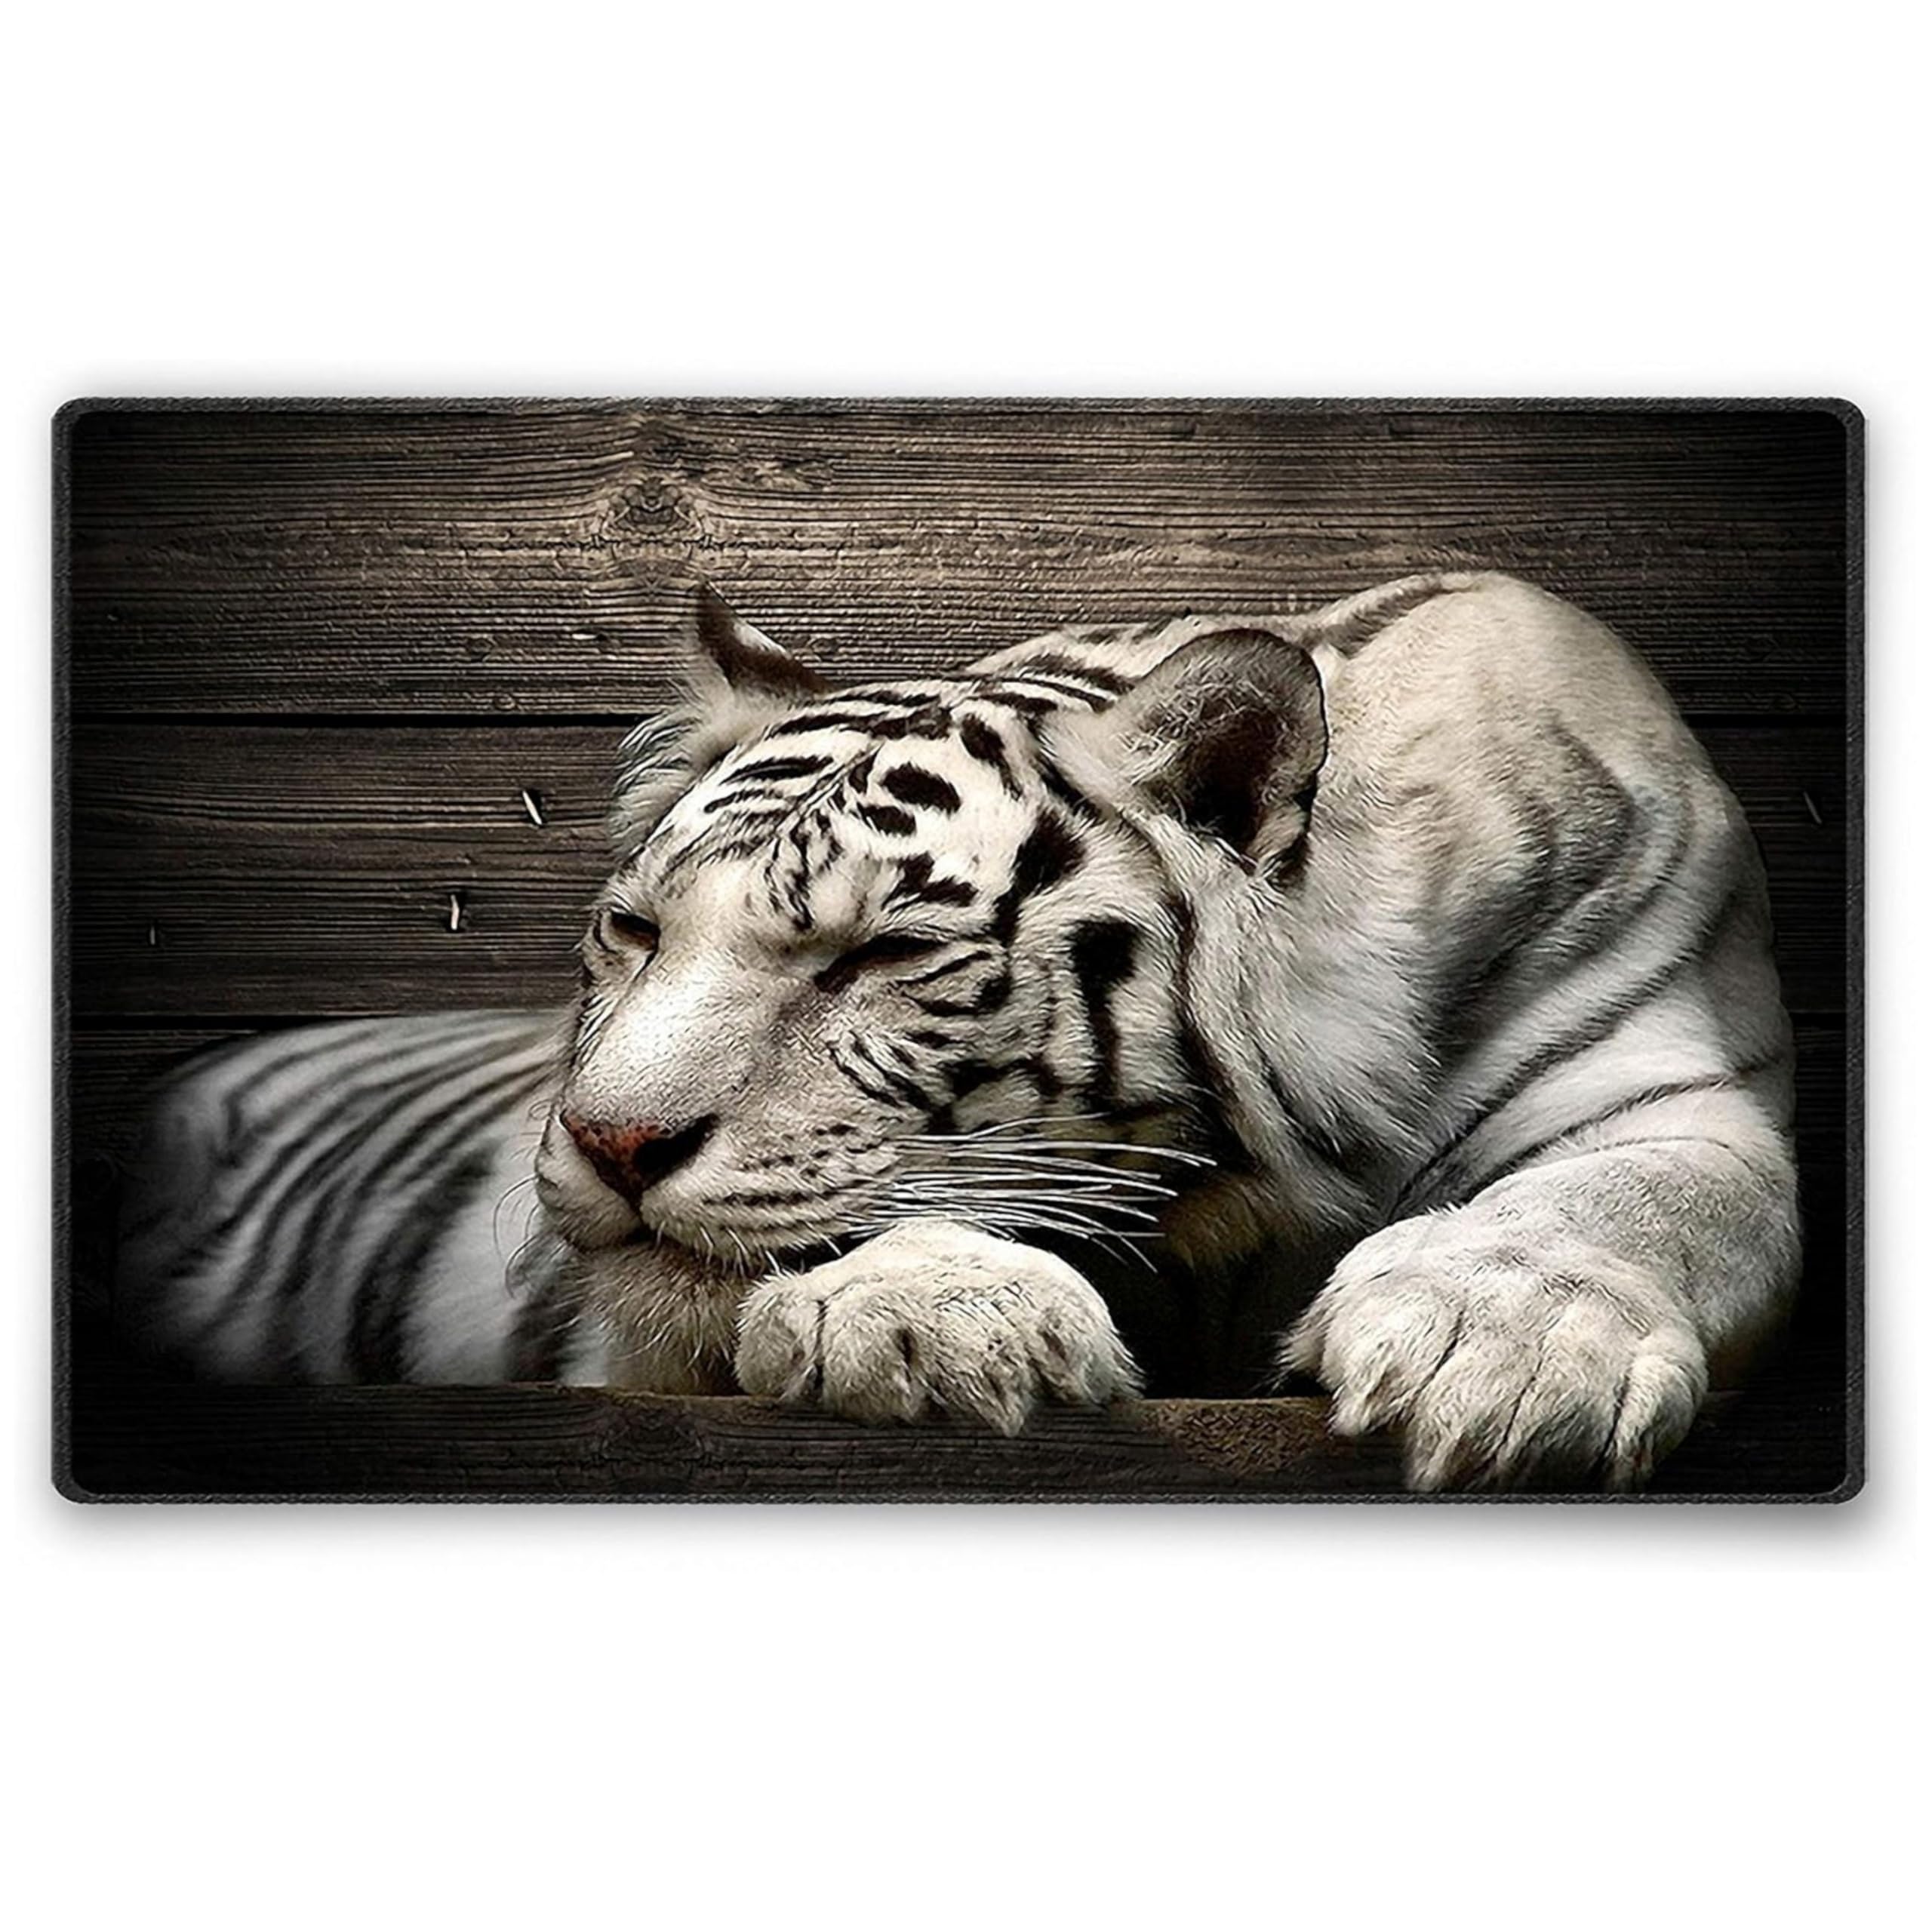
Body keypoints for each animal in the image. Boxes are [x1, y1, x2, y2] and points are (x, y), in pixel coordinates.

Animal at [114, 572, 1801, 1490]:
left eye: (883, 954)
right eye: (639, 933)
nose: (607, 1142)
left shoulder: (1670, 1079)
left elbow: (1635, 1196)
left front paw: (1500, 1351)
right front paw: (932, 1315)